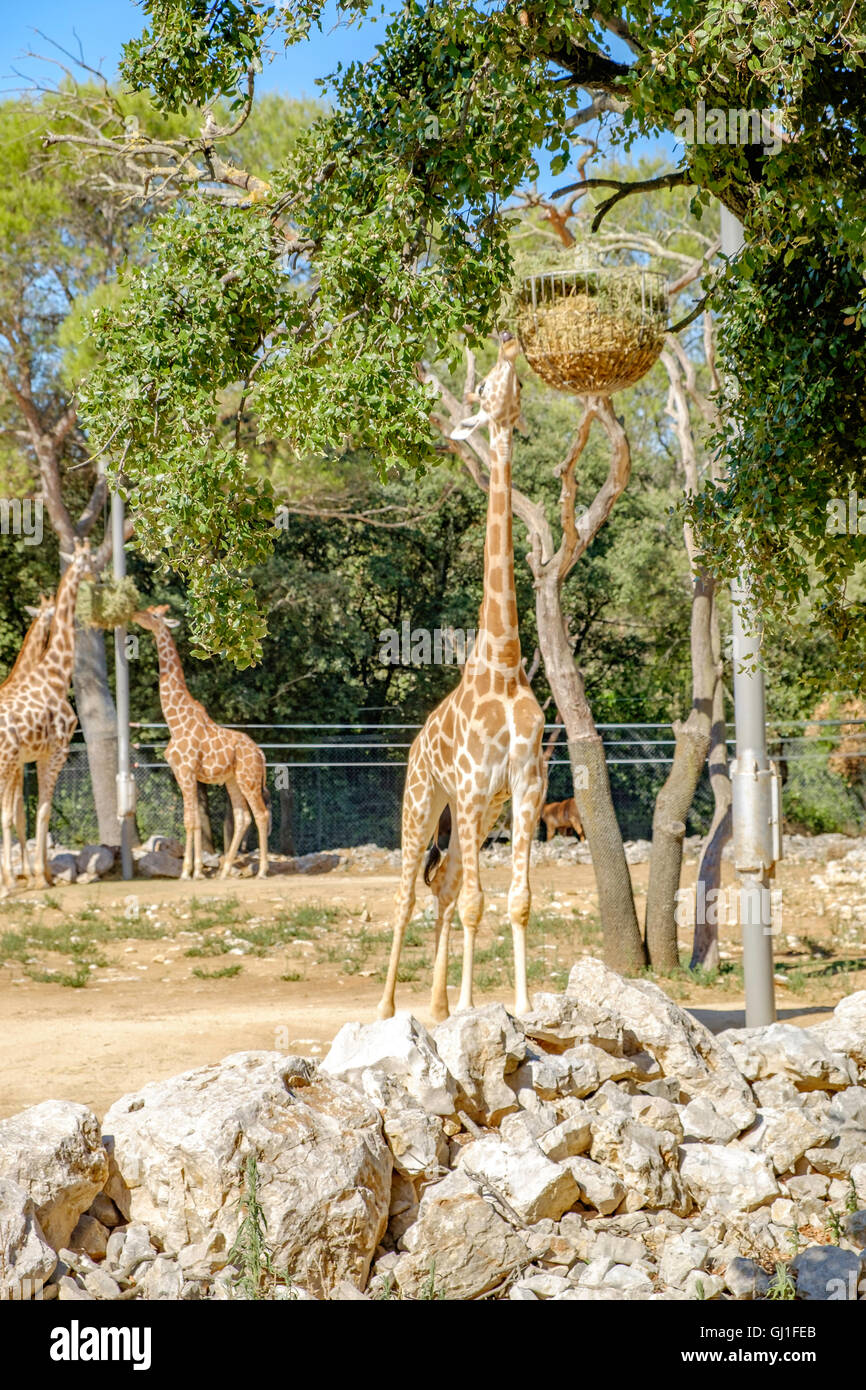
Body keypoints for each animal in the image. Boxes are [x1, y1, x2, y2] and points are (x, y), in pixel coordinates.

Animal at [0, 542, 94, 889]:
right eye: (89, 559)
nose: (97, 575)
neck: (55, 674)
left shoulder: (29, 759)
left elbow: (26, 814)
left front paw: (40, 873)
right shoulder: (55, 752)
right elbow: (40, 812)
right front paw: (41, 876)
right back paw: (12, 882)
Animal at [130, 606, 268, 878]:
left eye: (154, 615)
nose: (134, 615)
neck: (174, 721)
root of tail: (261, 754)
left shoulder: (186, 771)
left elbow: (190, 820)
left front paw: (188, 872)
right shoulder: (182, 773)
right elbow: (193, 820)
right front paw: (196, 870)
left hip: (248, 778)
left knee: (261, 814)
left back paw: (262, 871)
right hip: (232, 780)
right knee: (243, 817)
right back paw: (225, 871)